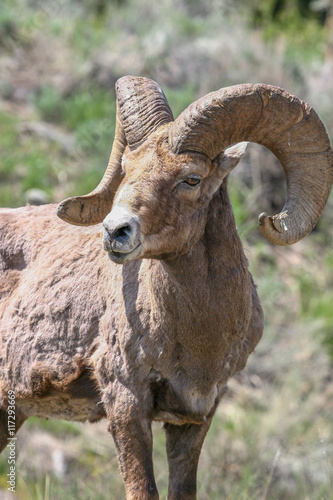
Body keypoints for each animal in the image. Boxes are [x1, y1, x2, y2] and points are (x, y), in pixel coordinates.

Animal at [0, 76, 332, 498]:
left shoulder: (194, 417)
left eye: (191, 178)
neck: (195, 337)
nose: (115, 232)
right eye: (126, 168)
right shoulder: (127, 404)